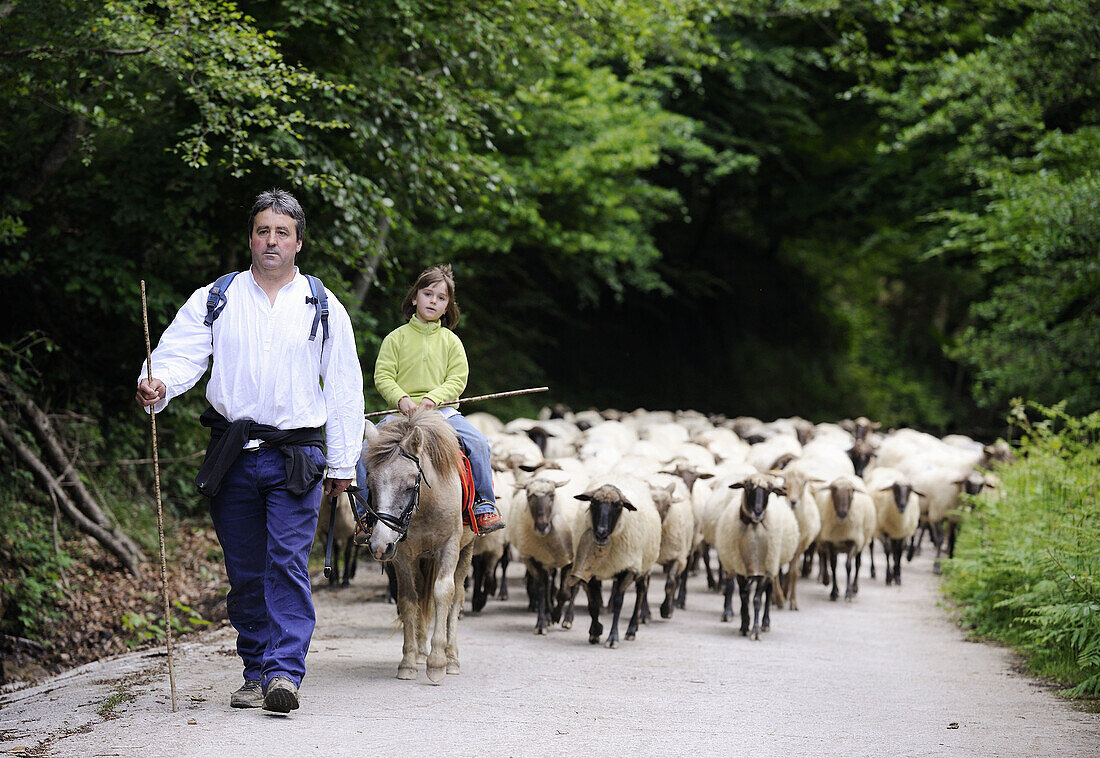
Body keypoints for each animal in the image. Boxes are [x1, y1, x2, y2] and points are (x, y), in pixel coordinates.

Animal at [360, 411, 473, 682]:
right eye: (370, 484)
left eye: (410, 485)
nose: (379, 546)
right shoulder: (402, 555)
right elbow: (408, 599)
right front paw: (409, 661)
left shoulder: (449, 548)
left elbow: (443, 593)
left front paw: (437, 663)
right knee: (422, 592)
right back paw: (422, 651)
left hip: (466, 551)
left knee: (457, 598)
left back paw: (452, 658)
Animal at [712, 473, 800, 638]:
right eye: (747, 486)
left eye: (770, 490)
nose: (758, 511)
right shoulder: (740, 567)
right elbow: (744, 596)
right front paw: (744, 625)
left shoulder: (765, 570)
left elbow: (757, 599)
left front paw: (755, 630)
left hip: (772, 565)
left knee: (769, 592)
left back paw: (766, 623)